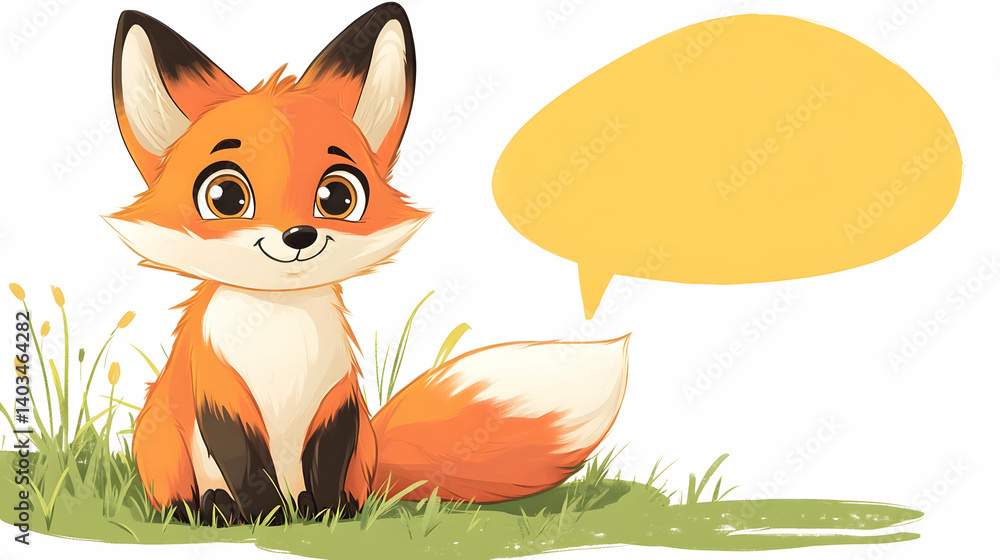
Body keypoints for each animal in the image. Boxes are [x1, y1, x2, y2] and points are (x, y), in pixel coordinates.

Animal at [108, 3, 629, 526]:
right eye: (225, 197)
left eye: (338, 196)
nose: (299, 236)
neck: (279, 325)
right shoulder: (219, 391)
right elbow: (246, 465)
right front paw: (266, 517)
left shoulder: (337, 397)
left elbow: (328, 458)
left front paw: (326, 515)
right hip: (162, 443)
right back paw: (215, 510)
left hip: (361, 453)